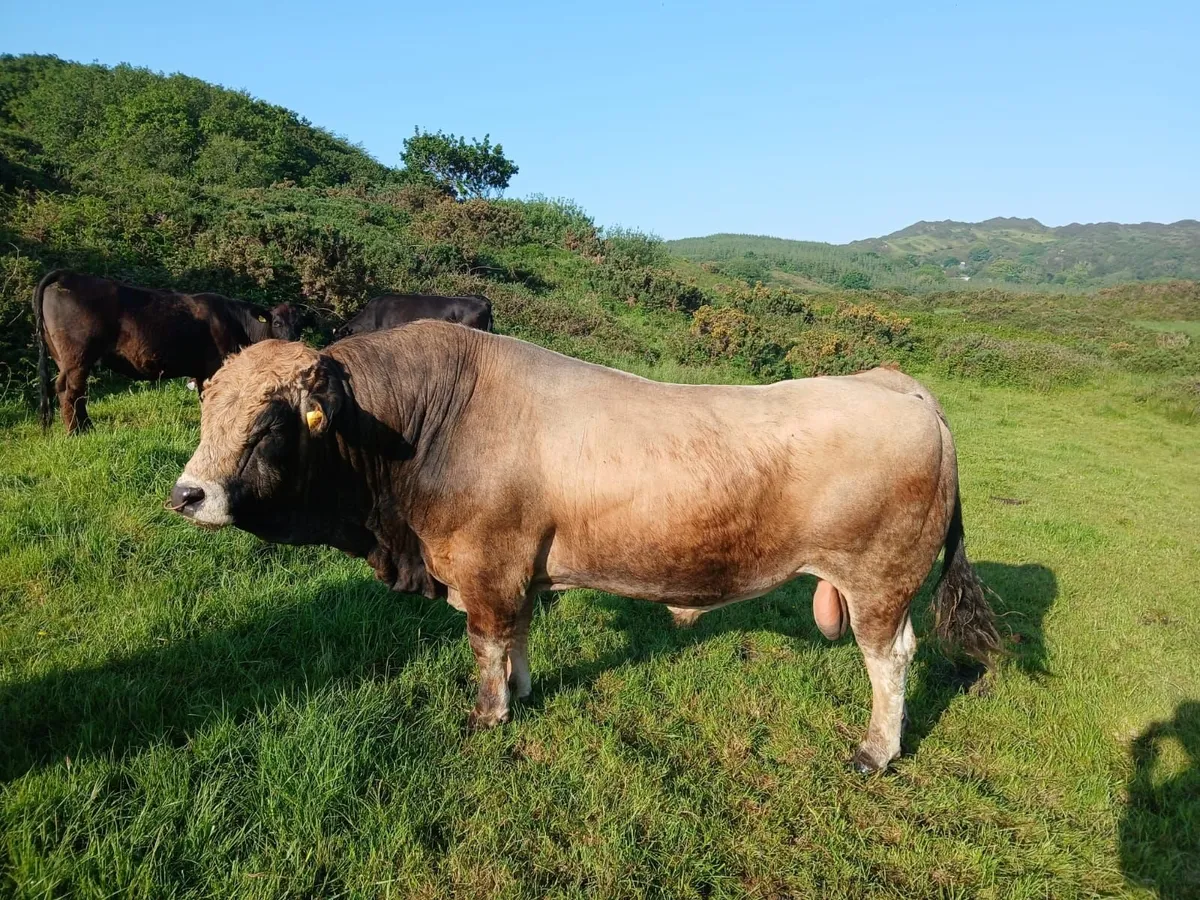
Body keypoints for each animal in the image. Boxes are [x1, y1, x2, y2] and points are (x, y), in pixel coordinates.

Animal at [34, 270, 300, 433]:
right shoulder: (215, 367)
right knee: (70, 390)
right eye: (277, 323)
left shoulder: (201, 372)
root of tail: (67, 274)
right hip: (77, 356)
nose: (292, 343)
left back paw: (87, 428)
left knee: (74, 392)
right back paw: (76, 432)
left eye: (299, 324)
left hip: (63, 357)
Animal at [170, 321, 1000, 773]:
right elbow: (519, 635)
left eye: (271, 423)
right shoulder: (519, 567)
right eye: (208, 409)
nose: (188, 495)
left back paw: (875, 751)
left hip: (879, 579)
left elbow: (487, 643)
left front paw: (489, 714)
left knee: (891, 661)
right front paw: (524, 691)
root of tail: (894, 383)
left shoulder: (486, 565)